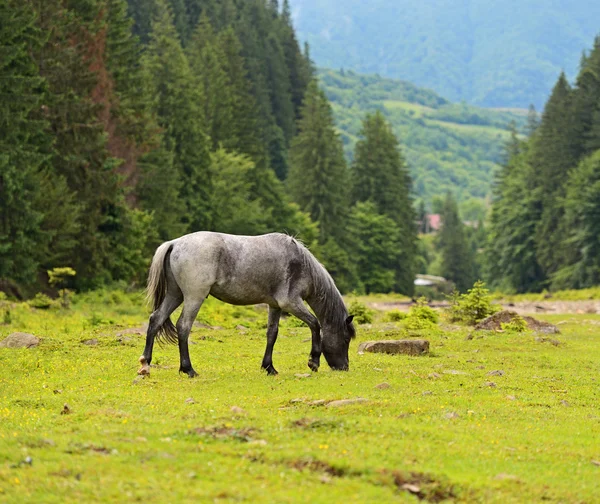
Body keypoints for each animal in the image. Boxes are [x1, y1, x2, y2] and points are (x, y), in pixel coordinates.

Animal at [139, 230, 356, 376]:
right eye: (346, 339)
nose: (344, 367)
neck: (300, 264)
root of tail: (175, 243)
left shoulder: (275, 306)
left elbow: (272, 334)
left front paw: (269, 367)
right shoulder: (290, 303)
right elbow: (314, 324)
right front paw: (313, 361)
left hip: (175, 295)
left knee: (156, 319)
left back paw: (145, 363)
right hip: (194, 297)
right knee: (183, 326)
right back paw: (188, 369)